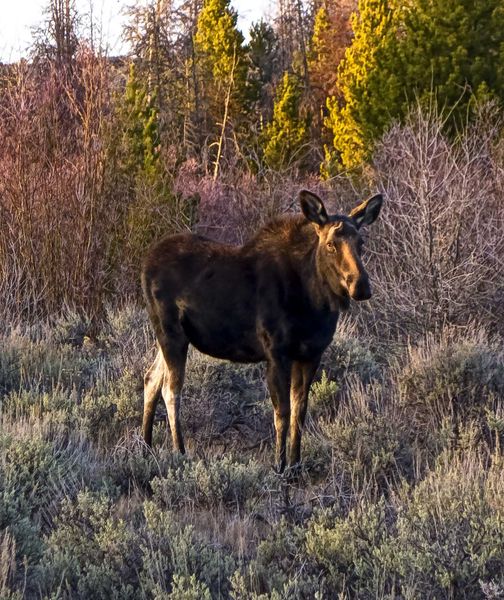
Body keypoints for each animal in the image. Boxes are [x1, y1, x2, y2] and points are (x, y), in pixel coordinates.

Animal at [141, 191, 382, 474]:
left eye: (361, 242)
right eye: (331, 244)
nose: (361, 286)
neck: (315, 302)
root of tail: (144, 265)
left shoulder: (311, 354)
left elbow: (300, 411)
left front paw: (295, 465)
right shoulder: (276, 353)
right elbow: (282, 413)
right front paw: (279, 466)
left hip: (171, 338)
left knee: (151, 379)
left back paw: (145, 449)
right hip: (171, 333)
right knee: (171, 389)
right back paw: (179, 452)